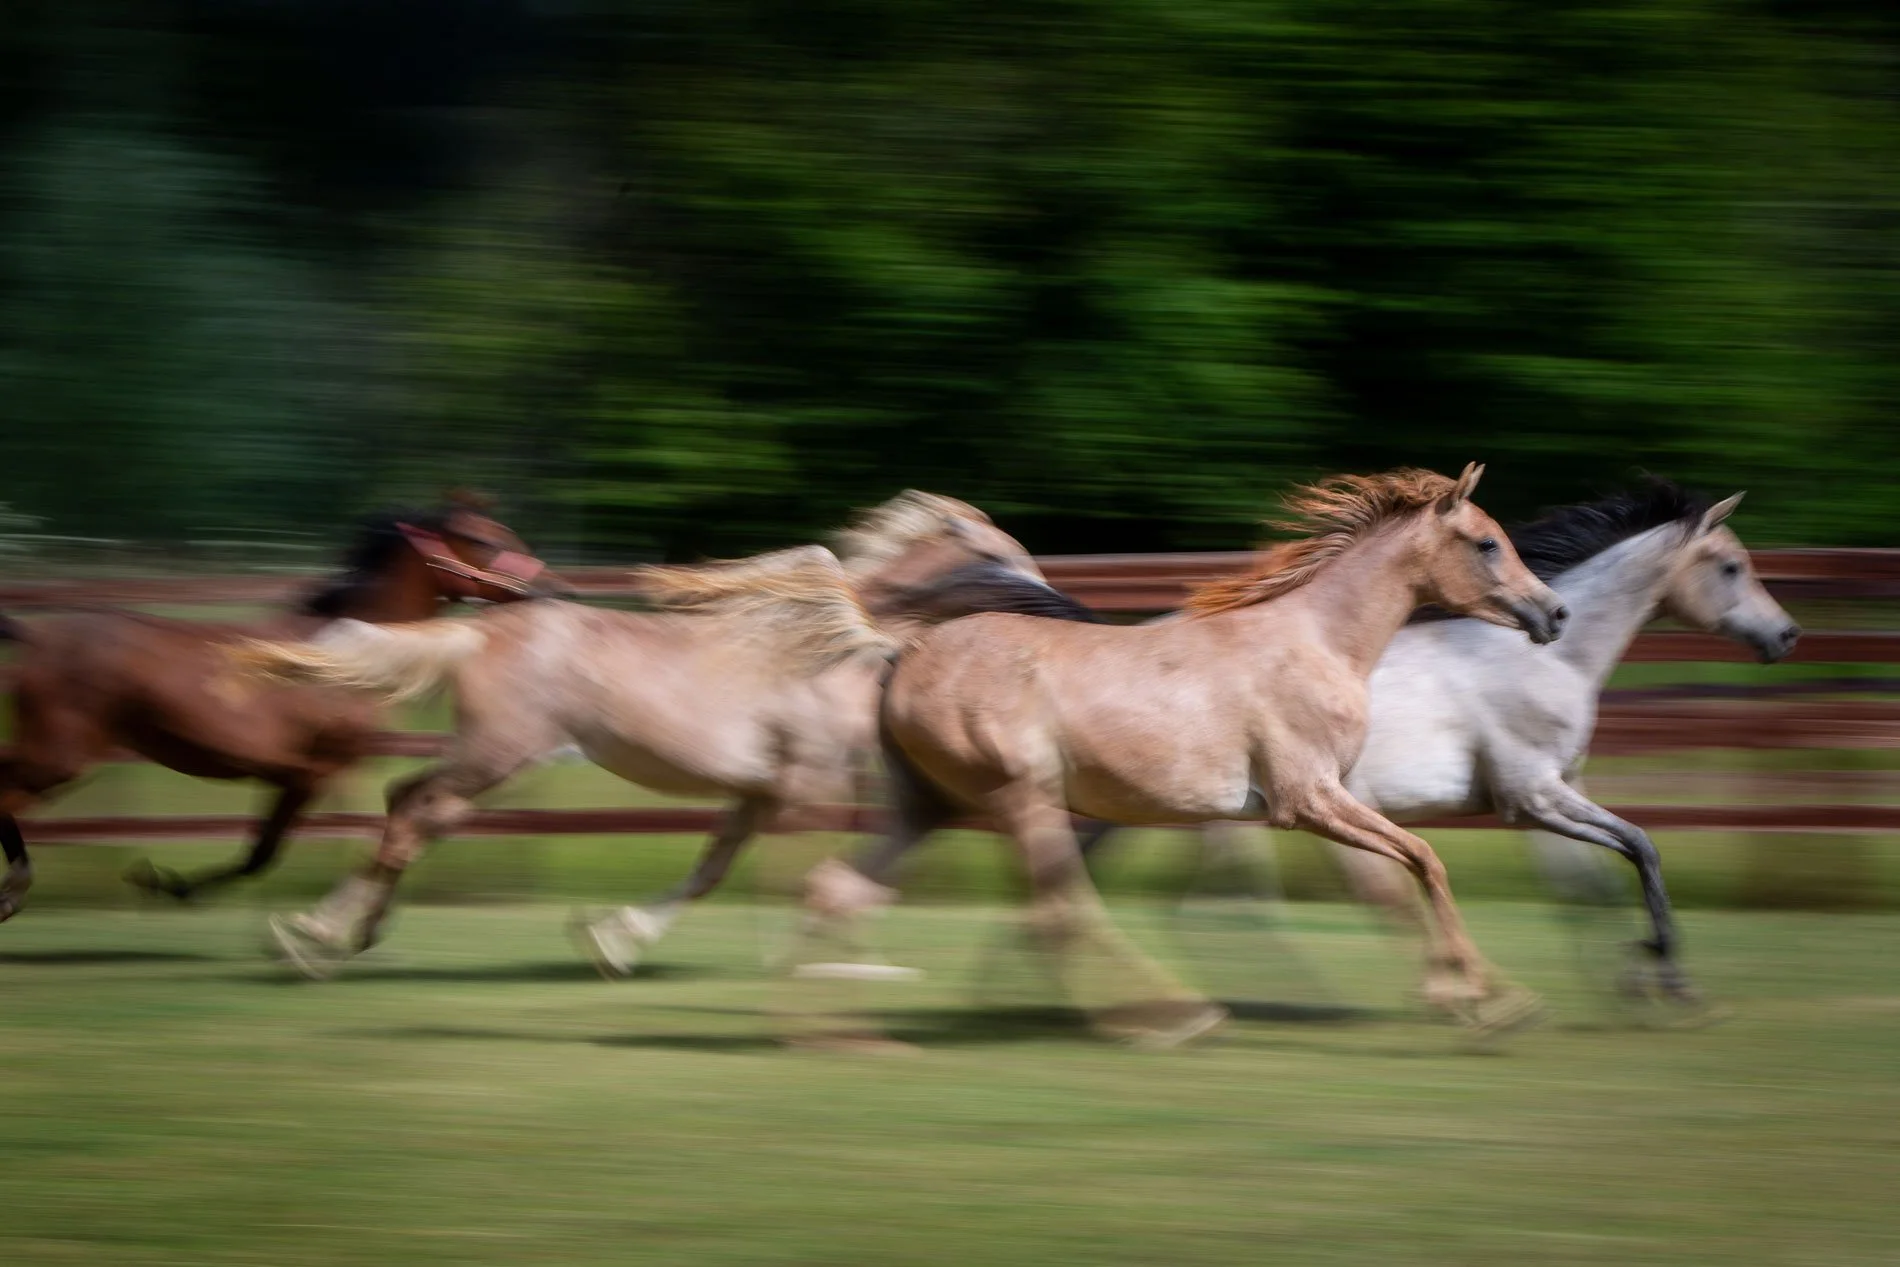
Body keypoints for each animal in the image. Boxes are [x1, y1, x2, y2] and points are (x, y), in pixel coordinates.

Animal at [0, 494, 557, 922]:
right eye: (485, 541)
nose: (549, 588)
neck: (349, 656)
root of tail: (41, 636)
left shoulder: (294, 776)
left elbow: (263, 853)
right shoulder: (313, 771)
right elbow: (265, 854)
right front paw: (164, 883)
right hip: (60, 756)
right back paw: (15, 891)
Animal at [229, 492, 1087, 980]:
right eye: (999, 553)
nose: (1067, 607)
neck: (838, 645)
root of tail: (477, 633)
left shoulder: (758, 789)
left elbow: (711, 871)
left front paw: (612, 939)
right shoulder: (809, 785)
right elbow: (817, 870)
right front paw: (834, 958)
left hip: (487, 757)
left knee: (408, 806)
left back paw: (342, 933)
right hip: (495, 754)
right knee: (413, 814)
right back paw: (312, 938)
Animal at [800, 464, 1570, 1044]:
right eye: (1487, 543)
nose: (1554, 613)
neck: (1315, 641)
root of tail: (903, 655)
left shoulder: (1337, 795)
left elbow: (1392, 882)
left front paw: (1481, 996)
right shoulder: (1306, 799)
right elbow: (1425, 859)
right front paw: (1480, 997)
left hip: (928, 807)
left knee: (844, 891)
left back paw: (841, 1038)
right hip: (1023, 796)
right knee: (1062, 909)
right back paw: (1173, 1015)